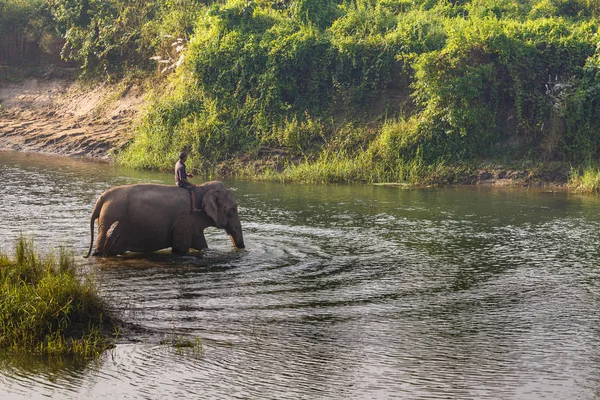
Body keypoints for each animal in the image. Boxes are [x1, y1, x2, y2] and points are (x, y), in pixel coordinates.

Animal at [84, 180, 244, 256]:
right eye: (233, 209)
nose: (240, 250)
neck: (202, 188)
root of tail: (102, 198)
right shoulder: (185, 219)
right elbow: (180, 249)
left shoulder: (193, 222)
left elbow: (201, 246)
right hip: (110, 218)